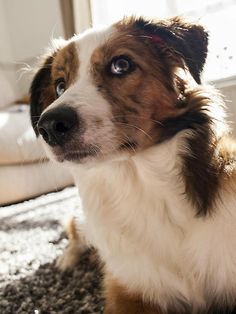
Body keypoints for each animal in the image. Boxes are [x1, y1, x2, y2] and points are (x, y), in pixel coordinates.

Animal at [29, 17, 236, 314]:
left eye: (121, 65)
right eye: (59, 86)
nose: (49, 126)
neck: (138, 180)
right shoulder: (127, 289)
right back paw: (66, 261)